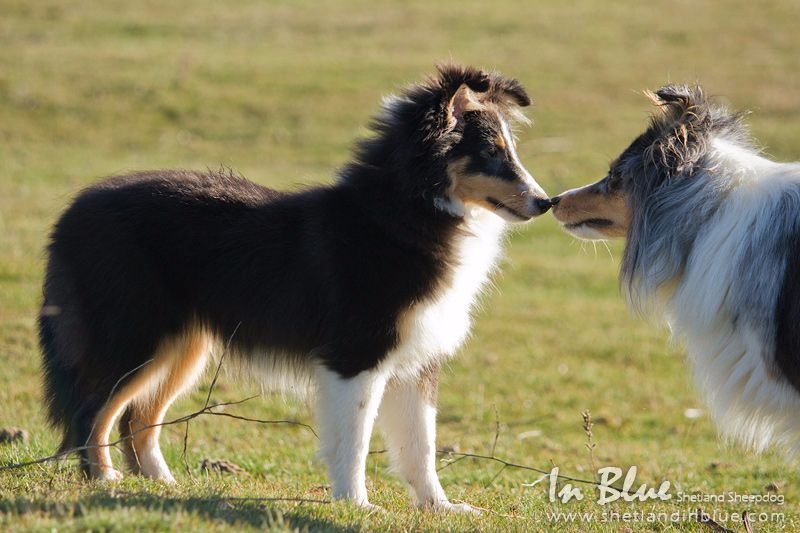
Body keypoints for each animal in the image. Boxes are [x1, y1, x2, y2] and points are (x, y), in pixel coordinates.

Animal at [37, 64, 552, 510]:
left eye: (509, 149)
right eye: (491, 153)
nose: (545, 203)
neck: (406, 213)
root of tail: (72, 213)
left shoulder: (416, 361)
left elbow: (420, 445)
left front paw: (440, 508)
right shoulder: (354, 356)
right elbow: (354, 440)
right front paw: (356, 505)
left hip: (184, 346)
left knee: (138, 416)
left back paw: (161, 484)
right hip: (132, 336)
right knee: (92, 411)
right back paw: (104, 479)